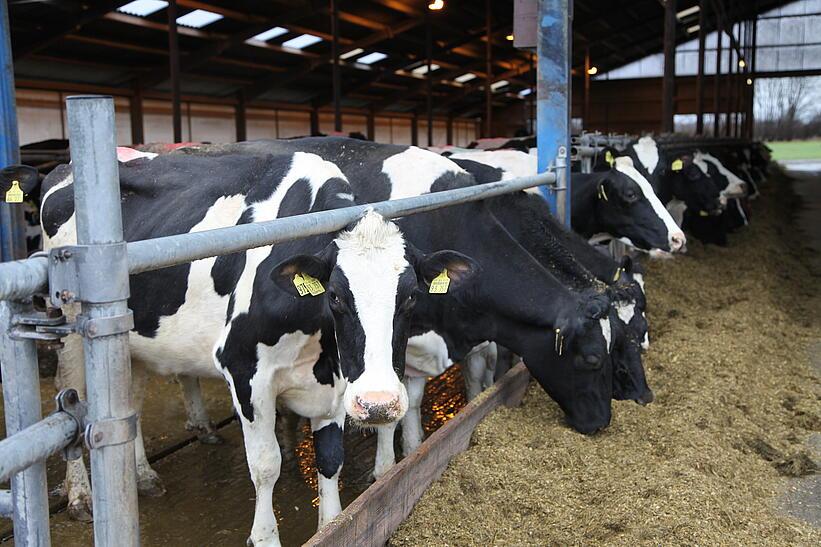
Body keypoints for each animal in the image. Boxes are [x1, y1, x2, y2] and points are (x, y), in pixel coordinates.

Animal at [36, 148, 474, 544]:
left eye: (412, 296)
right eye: (334, 296)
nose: (379, 404)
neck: (318, 348)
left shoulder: (336, 381)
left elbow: (330, 460)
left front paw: (330, 524)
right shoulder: (244, 368)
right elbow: (266, 465)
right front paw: (264, 537)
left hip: (136, 342)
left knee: (131, 400)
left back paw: (142, 475)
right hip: (75, 332)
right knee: (71, 400)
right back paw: (80, 496)